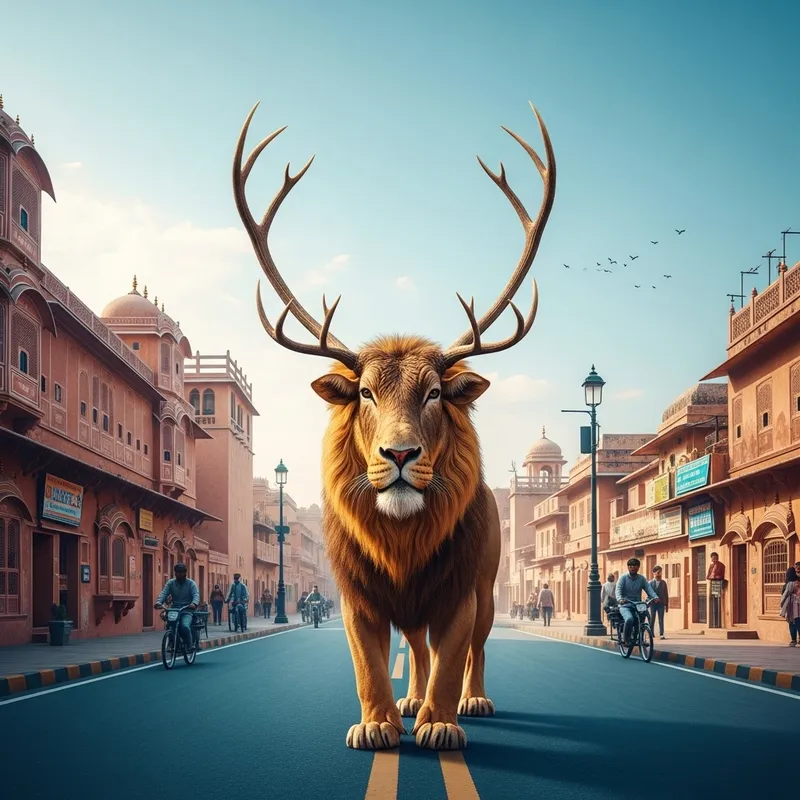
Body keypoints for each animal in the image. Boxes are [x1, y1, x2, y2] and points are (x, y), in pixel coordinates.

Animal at [232, 102, 556, 750]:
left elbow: (454, 652)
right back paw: (408, 699)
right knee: (415, 648)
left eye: (433, 392)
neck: (403, 545)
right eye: (363, 392)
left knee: (474, 647)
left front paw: (441, 724)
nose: (400, 455)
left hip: (490, 586)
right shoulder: (356, 595)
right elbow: (369, 662)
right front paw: (379, 722)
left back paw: (470, 700)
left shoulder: (461, 590)